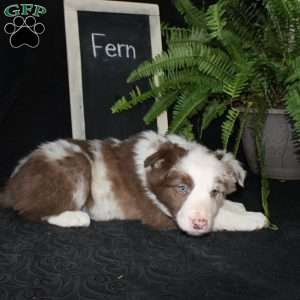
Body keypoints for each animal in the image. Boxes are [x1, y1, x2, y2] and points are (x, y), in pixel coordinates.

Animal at [0, 131, 268, 234]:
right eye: (181, 189)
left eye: (215, 192)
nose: (199, 224)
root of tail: (12, 184)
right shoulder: (159, 214)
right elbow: (223, 218)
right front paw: (254, 219)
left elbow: (223, 208)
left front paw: (239, 207)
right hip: (74, 165)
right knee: (32, 211)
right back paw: (75, 217)